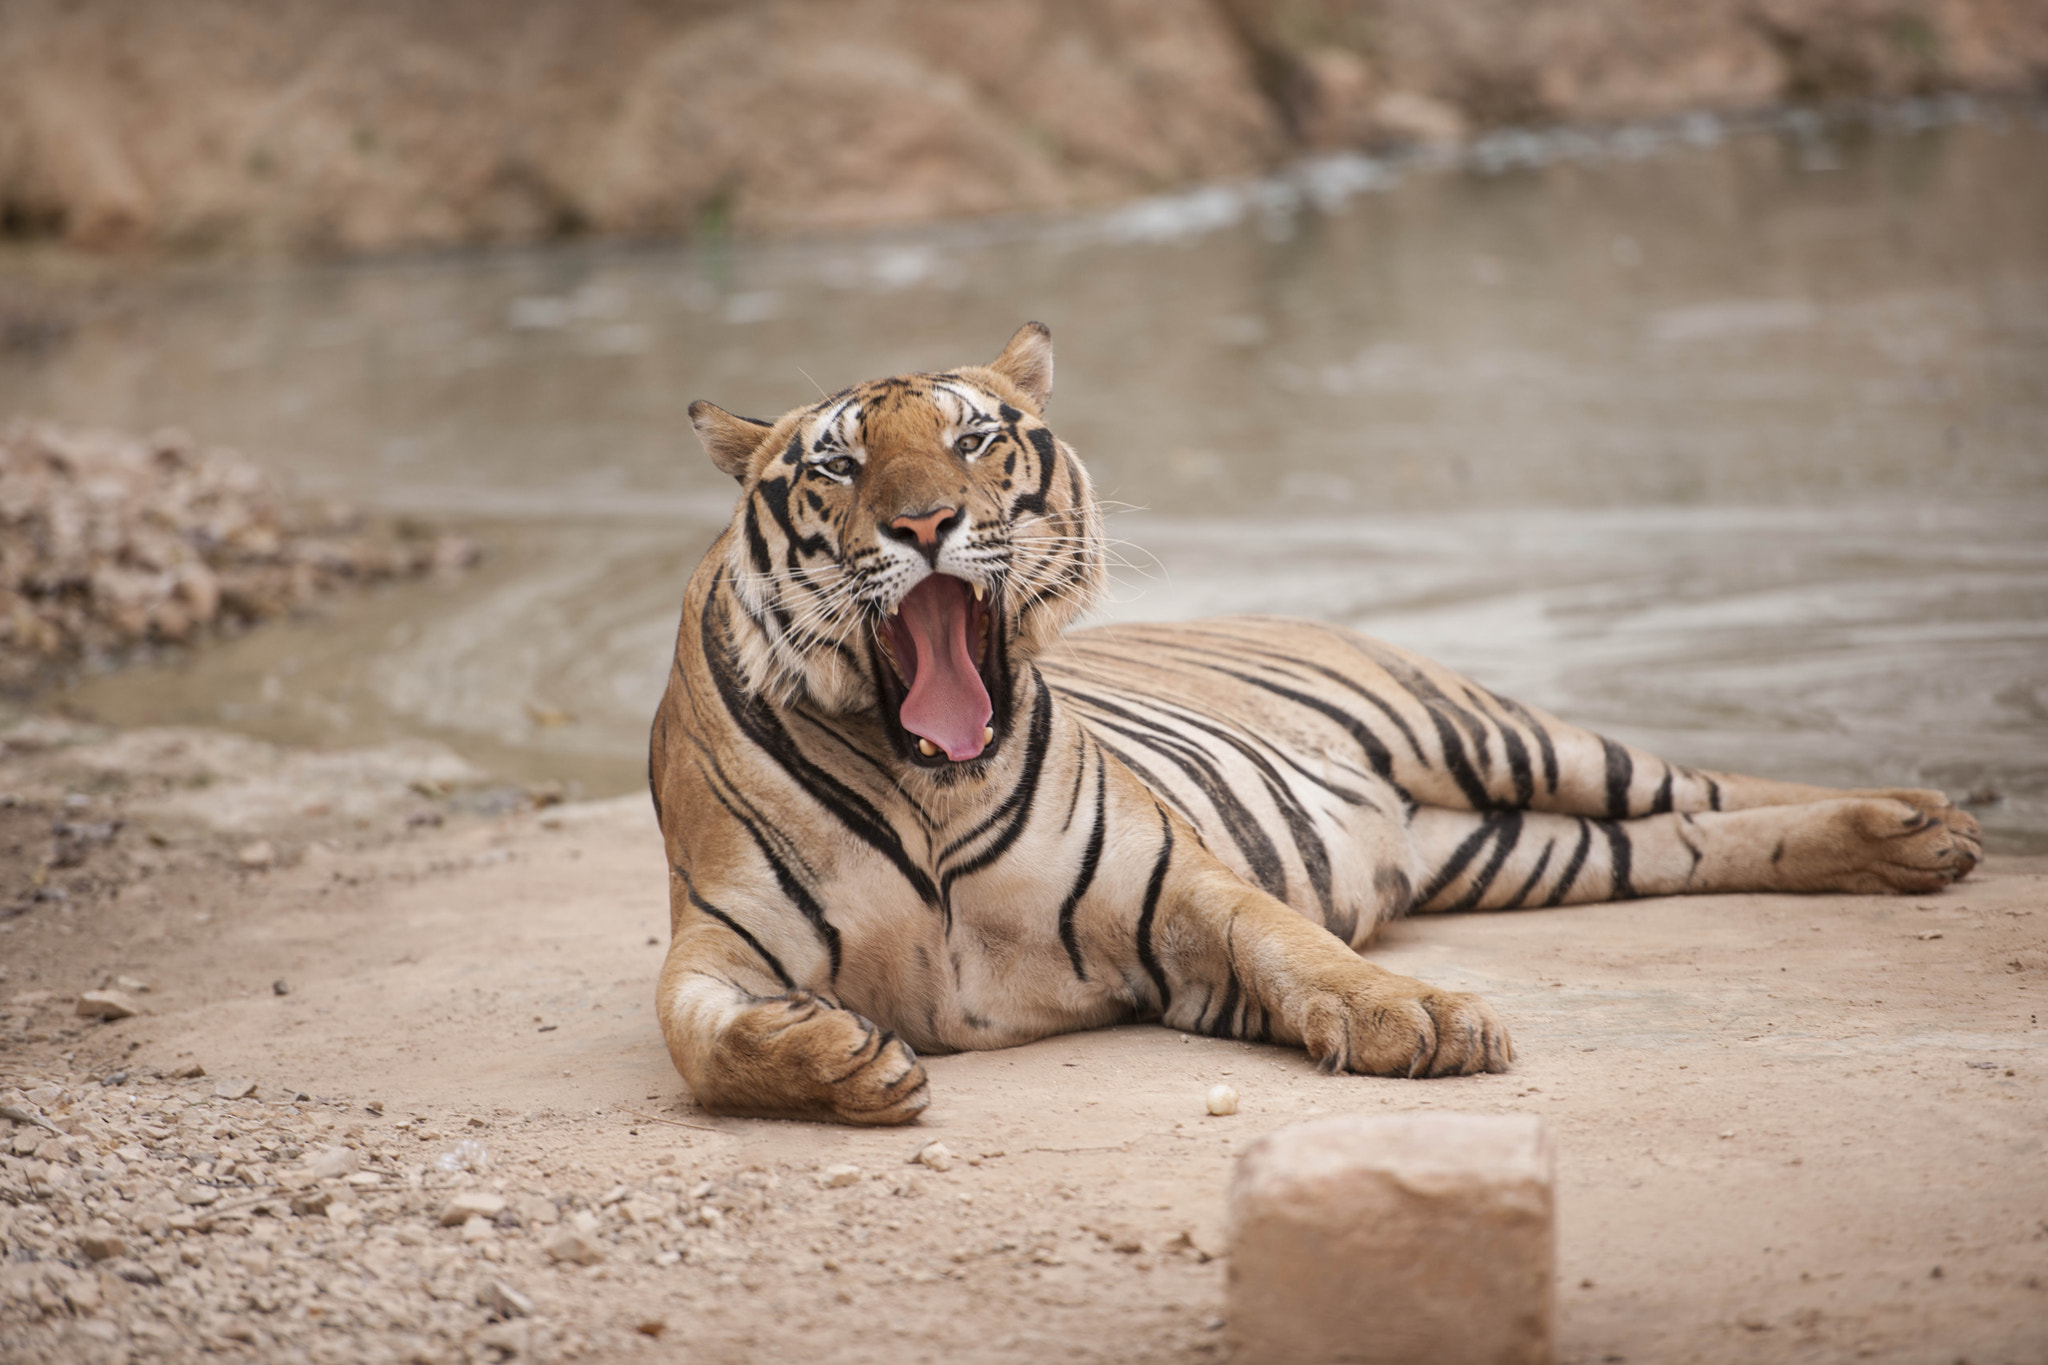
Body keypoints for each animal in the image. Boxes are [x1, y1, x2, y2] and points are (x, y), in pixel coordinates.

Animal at [643, 325, 1982, 1129]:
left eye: (973, 438)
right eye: (837, 466)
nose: (924, 524)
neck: (929, 778)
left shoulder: (1177, 883)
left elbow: (1298, 949)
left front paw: (1424, 1022)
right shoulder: (712, 943)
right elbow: (705, 1042)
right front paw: (835, 1062)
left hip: (1478, 730)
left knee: (1692, 783)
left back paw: (1924, 819)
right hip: (1511, 847)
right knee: (1677, 841)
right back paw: (1904, 840)